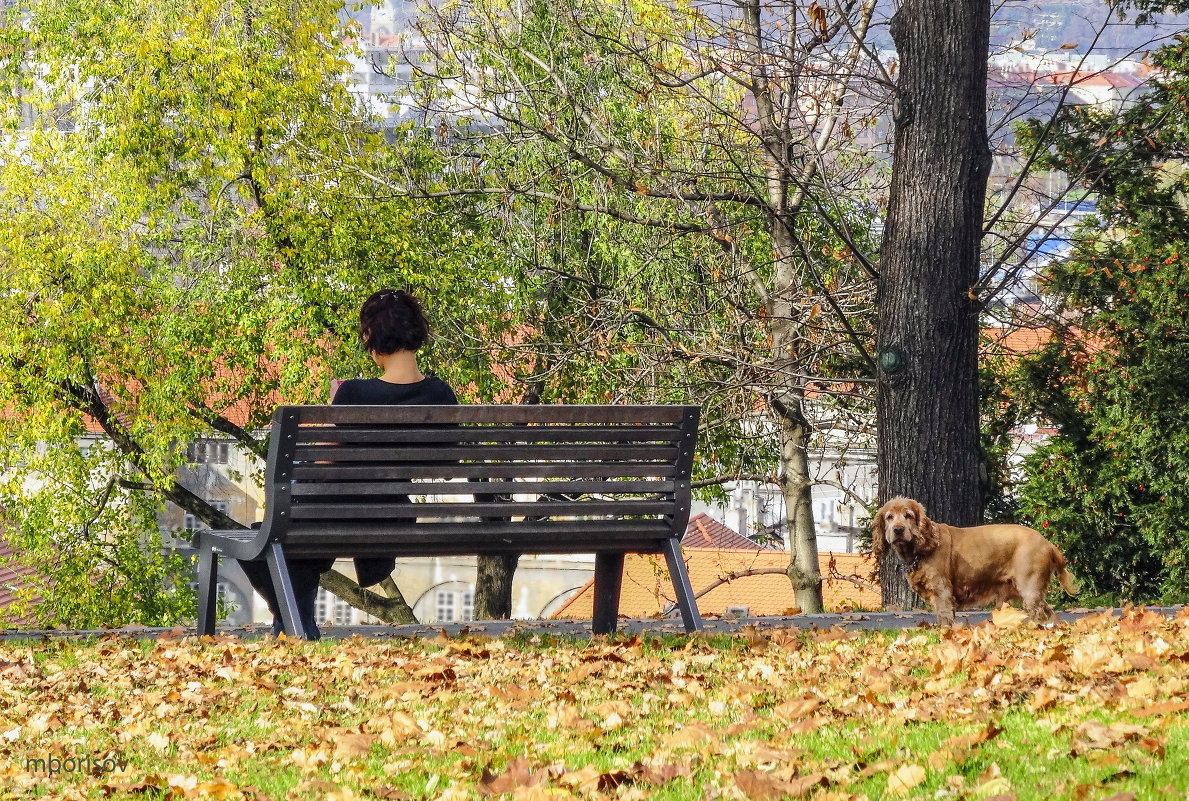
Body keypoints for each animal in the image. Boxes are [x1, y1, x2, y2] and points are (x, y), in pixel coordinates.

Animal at [870, 492, 1084, 622]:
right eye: (889, 517)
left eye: (908, 515)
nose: (898, 530)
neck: (921, 548)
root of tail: (1047, 543)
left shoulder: (943, 594)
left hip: (1031, 591)